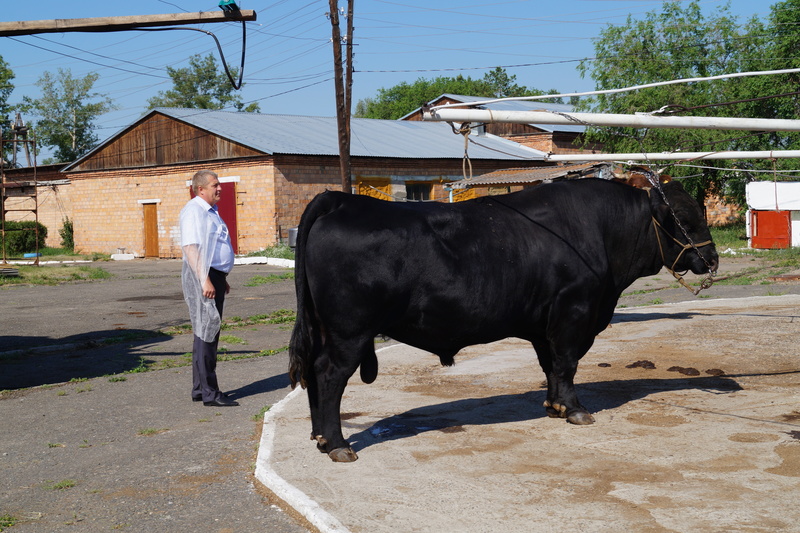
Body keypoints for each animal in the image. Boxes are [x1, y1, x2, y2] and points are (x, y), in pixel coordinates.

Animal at [289, 178, 718, 462]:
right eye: (684, 218)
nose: (711, 258)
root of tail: (340, 200)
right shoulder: (574, 312)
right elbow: (567, 364)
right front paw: (576, 410)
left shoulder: (545, 325)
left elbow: (551, 366)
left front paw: (555, 405)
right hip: (349, 332)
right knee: (329, 375)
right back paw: (338, 445)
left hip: (324, 328)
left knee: (312, 370)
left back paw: (319, 436)